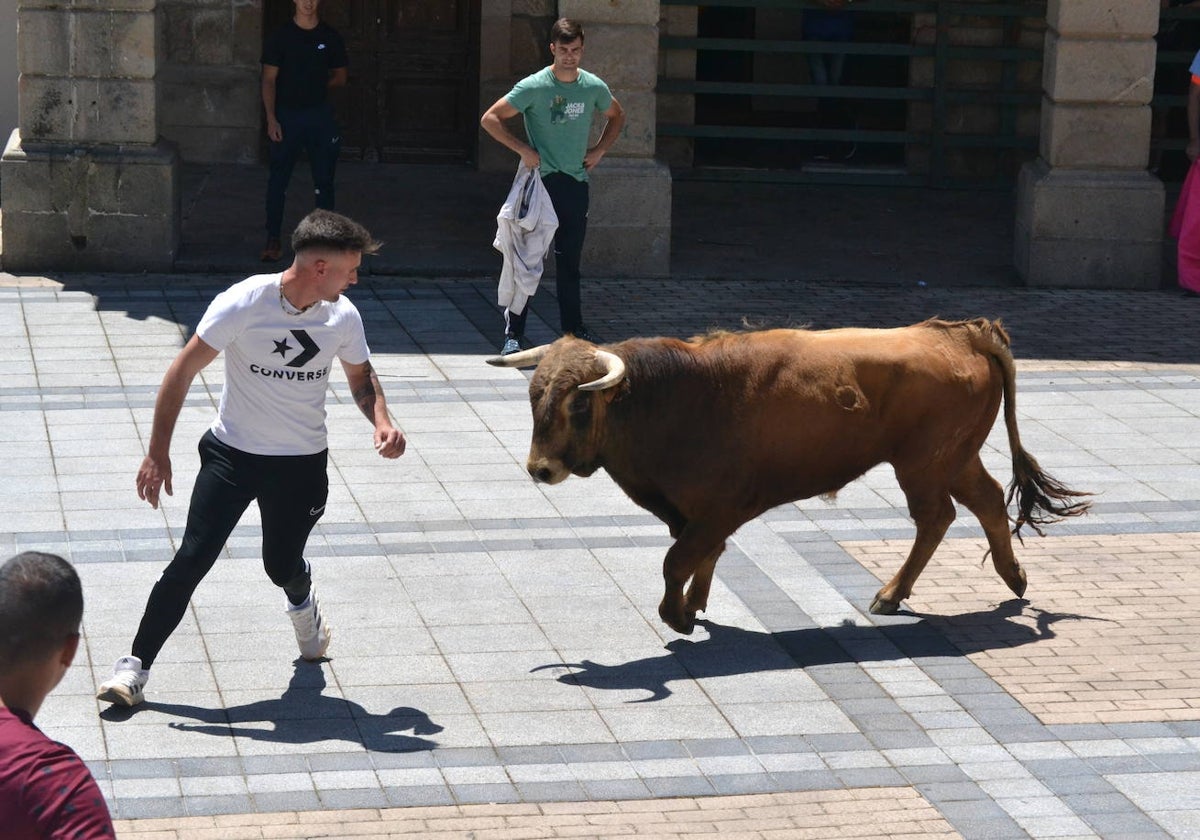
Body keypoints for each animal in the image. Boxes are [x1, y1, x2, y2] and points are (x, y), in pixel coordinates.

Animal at [484, 319, 1089, 633]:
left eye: (579, 404)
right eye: (535, 395)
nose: (540, 468)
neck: (673, 396)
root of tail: (959, 334)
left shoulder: (718, 508)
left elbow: (678, 559)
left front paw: (677, 615)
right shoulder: (695, 513)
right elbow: (702, 555)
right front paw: (696, 605)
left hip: (924, 464)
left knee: (935, 517)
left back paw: (891, 594)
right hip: (955, 458)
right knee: (986, 499)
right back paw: (1012, 578)